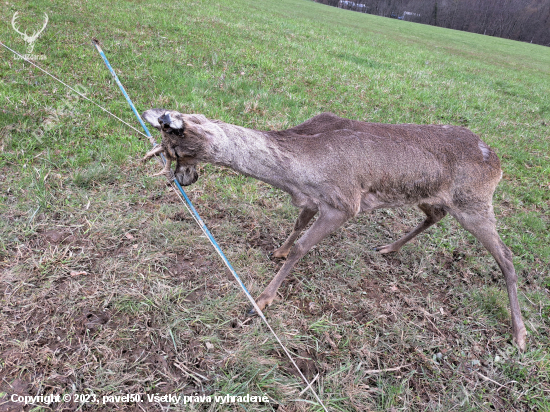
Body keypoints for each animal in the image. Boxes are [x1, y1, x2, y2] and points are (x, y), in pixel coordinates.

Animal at [142, 111, 532, 350]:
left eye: (177, 151)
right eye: (164, 150)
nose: (183, 181)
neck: (297, 172)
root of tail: (498, 163)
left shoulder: (344, 203)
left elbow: (303, 247)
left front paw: (261, 302)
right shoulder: (313, 200)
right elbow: (297, 225)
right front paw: (278, 250)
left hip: (475, 203)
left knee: (507, 257)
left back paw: (520, 334)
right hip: (430, 197)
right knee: (435, 215)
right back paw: (388, 249)